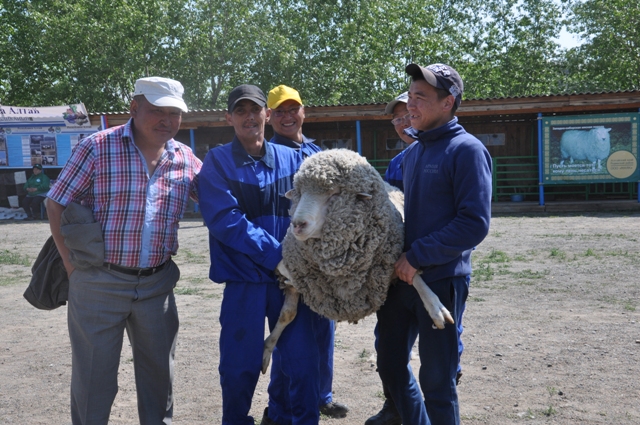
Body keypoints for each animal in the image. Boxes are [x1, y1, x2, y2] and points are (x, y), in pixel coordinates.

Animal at [262, 148, 456, 372]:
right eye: (299, 193)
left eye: (334, 193)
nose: (297, 224)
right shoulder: (299, 274)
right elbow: (287, 313)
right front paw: (267, 348)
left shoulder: (389, 260)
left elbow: (415, 276)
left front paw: (436, 308)